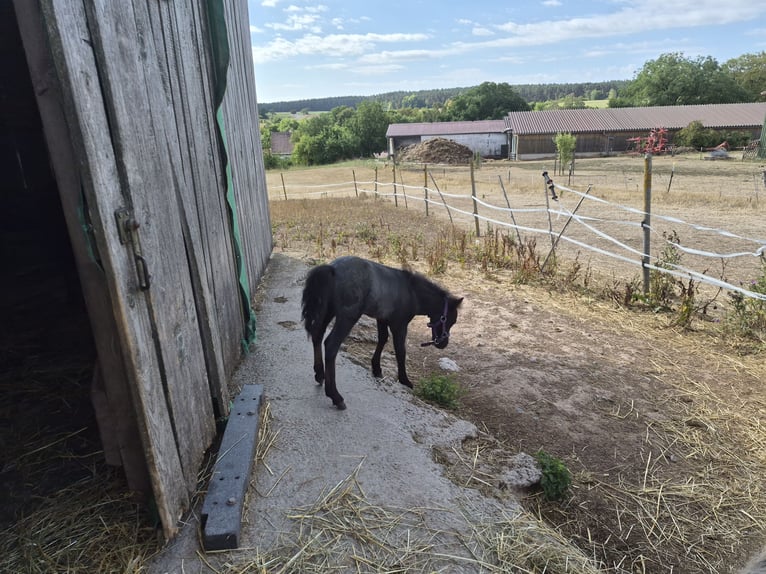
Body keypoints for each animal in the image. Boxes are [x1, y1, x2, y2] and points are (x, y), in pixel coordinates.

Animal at [301, 256, 463, 410]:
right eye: (450, 319)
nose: (443, 343)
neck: (411, 291)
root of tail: (332, 268)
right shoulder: (399, 325)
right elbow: (400, 350)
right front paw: (404, 380)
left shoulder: (382, 319)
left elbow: (382, 339)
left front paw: (377, 369)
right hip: (347, 317)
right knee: (331, 345)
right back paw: (336, 396)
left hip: (328, 311)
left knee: (317, 335)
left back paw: (319, 375)